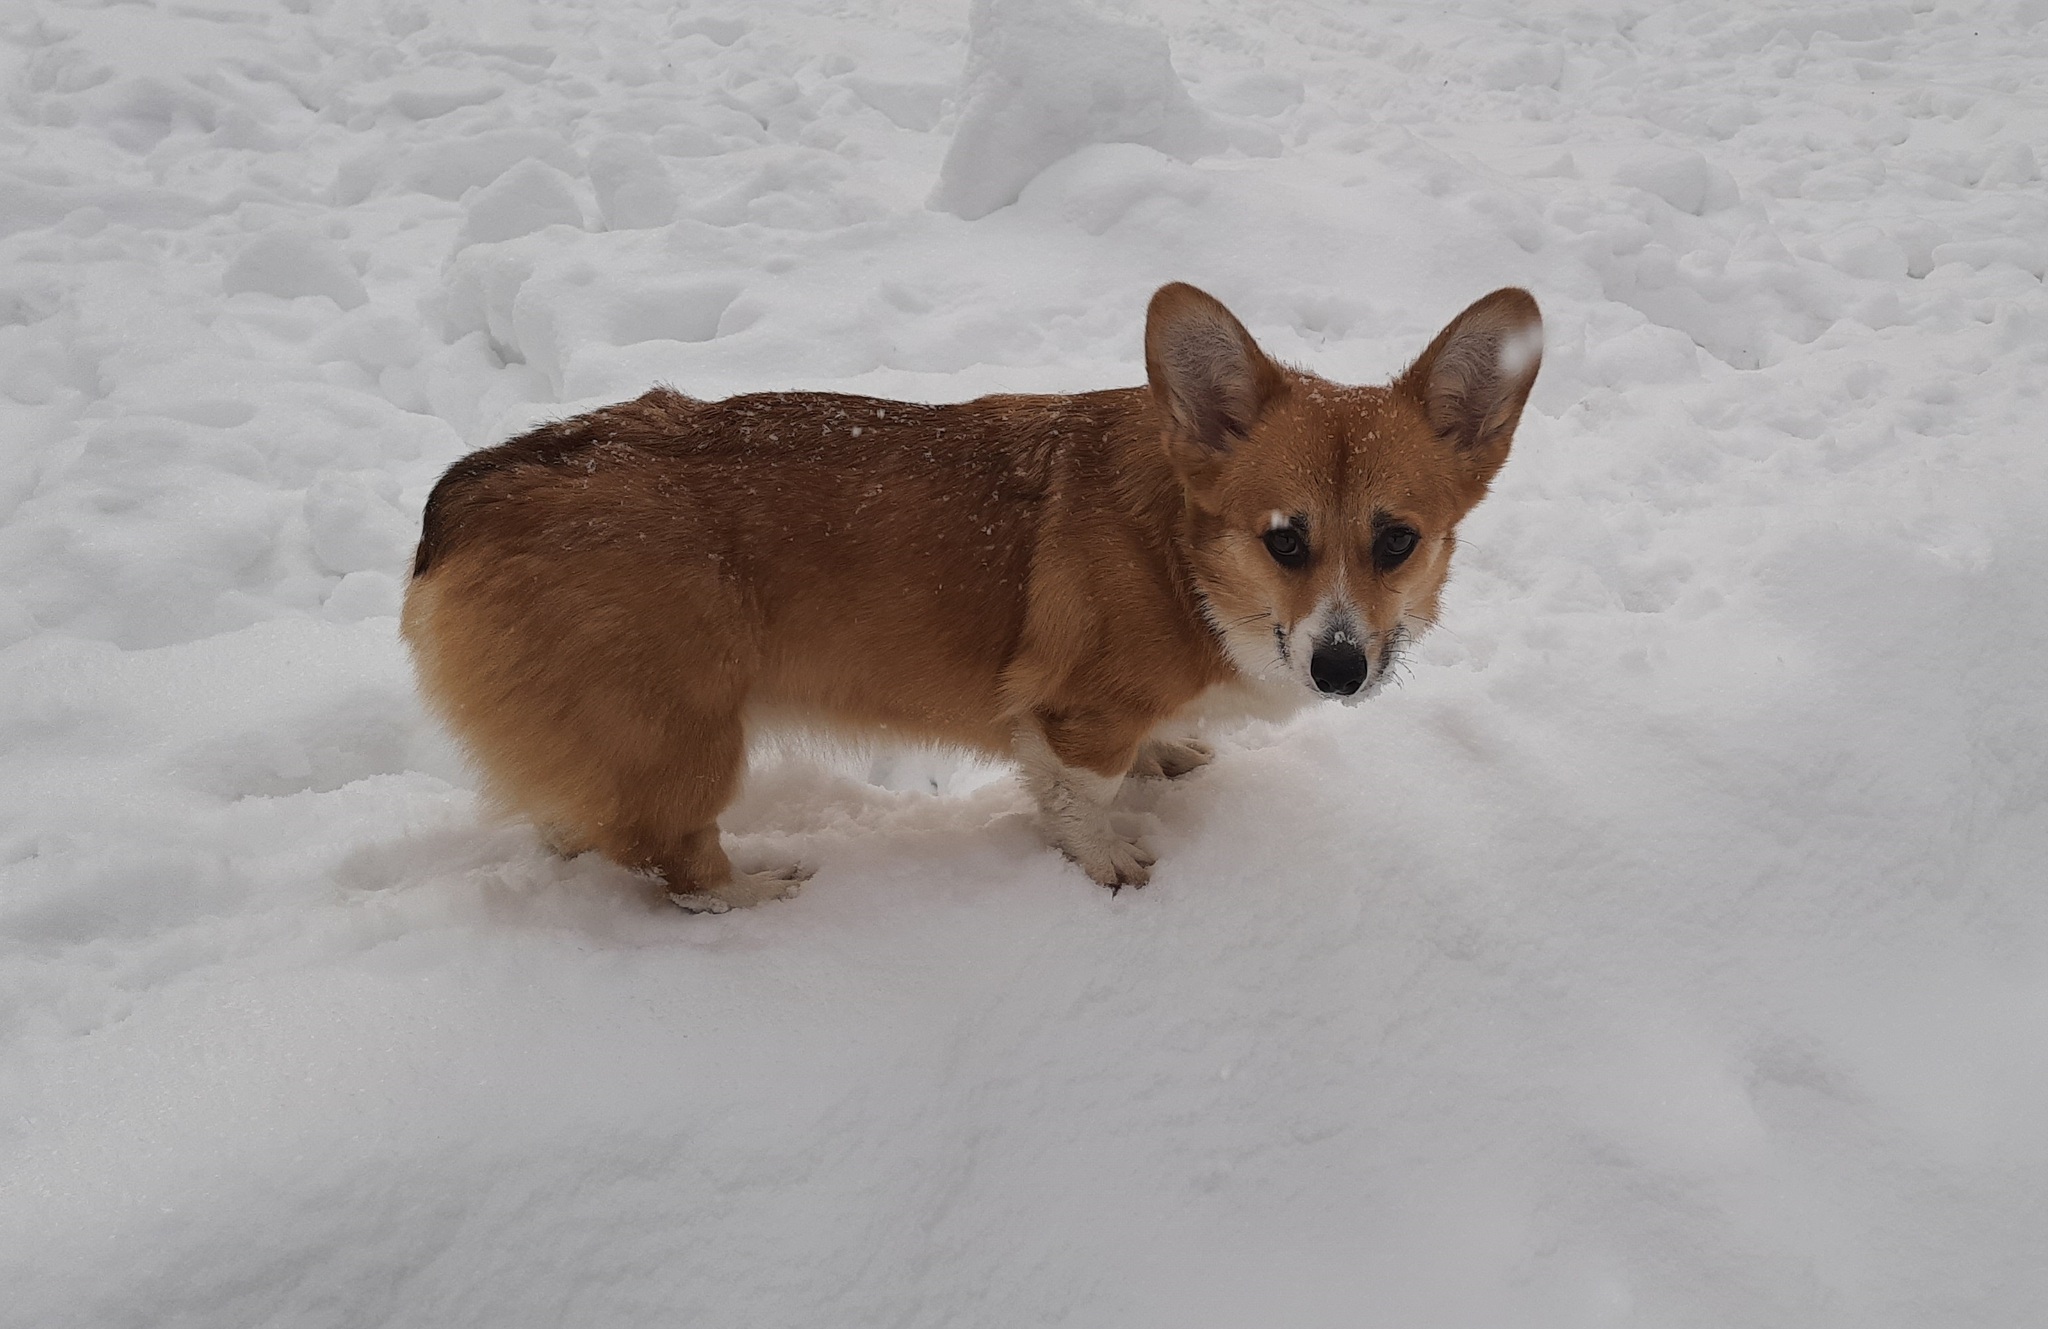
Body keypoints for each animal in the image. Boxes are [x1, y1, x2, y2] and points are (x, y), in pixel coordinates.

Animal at [403, 284, 1540, 913]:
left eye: (1396, 540)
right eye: (1284, 538)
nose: (1341, 669)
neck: (1182, 558)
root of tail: (478, 484)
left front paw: (1168, 755)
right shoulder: (1074, 712)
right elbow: (1075, 795)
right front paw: (1109, 857)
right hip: (684, 734)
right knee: (669, 859)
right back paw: (755, 894)